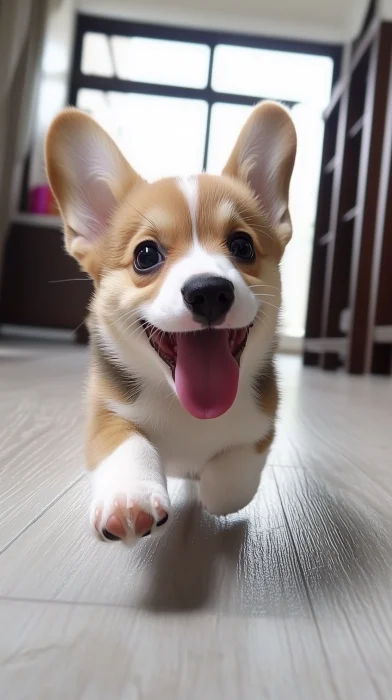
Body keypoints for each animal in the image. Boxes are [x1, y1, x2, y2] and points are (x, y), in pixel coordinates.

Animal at [46, 101, 296, 544]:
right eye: (146, 255)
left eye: (243, 246)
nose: (209, 291)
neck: (185, 406)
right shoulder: (105, 413)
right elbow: (127, 442)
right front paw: (129, 499)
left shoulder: (262, 426)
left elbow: (232, 479)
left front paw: (215, 491)